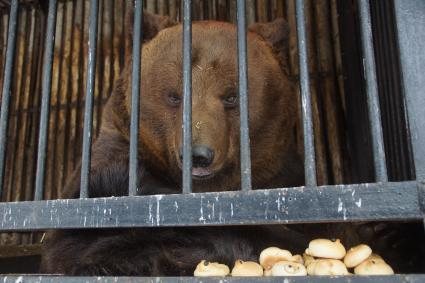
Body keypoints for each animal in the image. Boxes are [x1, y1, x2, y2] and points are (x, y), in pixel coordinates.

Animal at [40, 12, 304, 276]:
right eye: (174, 96)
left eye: (231, 96)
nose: (198, 154)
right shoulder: (114, 154)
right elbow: (86, 231)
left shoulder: (280, 175)